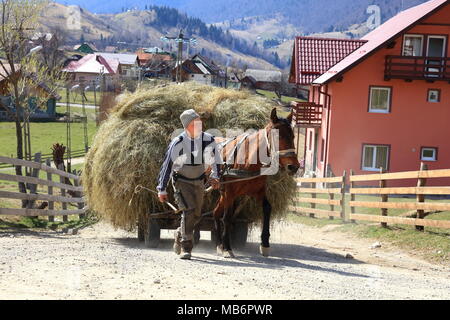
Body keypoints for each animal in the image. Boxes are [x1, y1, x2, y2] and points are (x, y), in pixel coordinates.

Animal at [214, 109, 298, 258]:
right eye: (278, 136)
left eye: (293, 136)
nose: (293, 166)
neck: (248, 160)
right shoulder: (230, 192)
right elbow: (227, 218)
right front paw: (227, 247)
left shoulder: (258, 191)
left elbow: (267, 208)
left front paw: (265, 243)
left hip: (223, 194)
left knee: (215, 213)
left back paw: (219, 243)